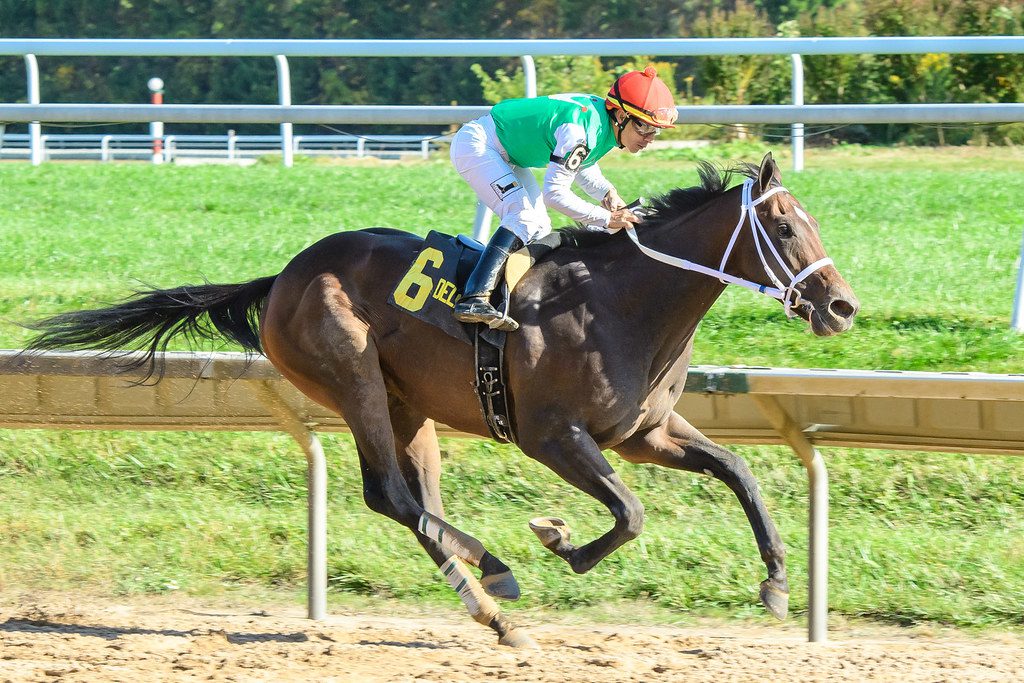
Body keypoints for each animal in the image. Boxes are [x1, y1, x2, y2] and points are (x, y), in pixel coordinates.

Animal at [25, 153, 856, 647]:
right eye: (784, 226)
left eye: (815, 221)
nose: (841, 306)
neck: (620, 300)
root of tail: (282, 276)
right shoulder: (552, 435)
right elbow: (630, 512)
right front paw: (557, 538)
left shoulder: (642, 431)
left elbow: (737, 473)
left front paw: (777, 583)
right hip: (351, 373)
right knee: (388, 494)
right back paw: (496, 568)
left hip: (409, 404)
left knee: (412, 501)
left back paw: (492, 608)